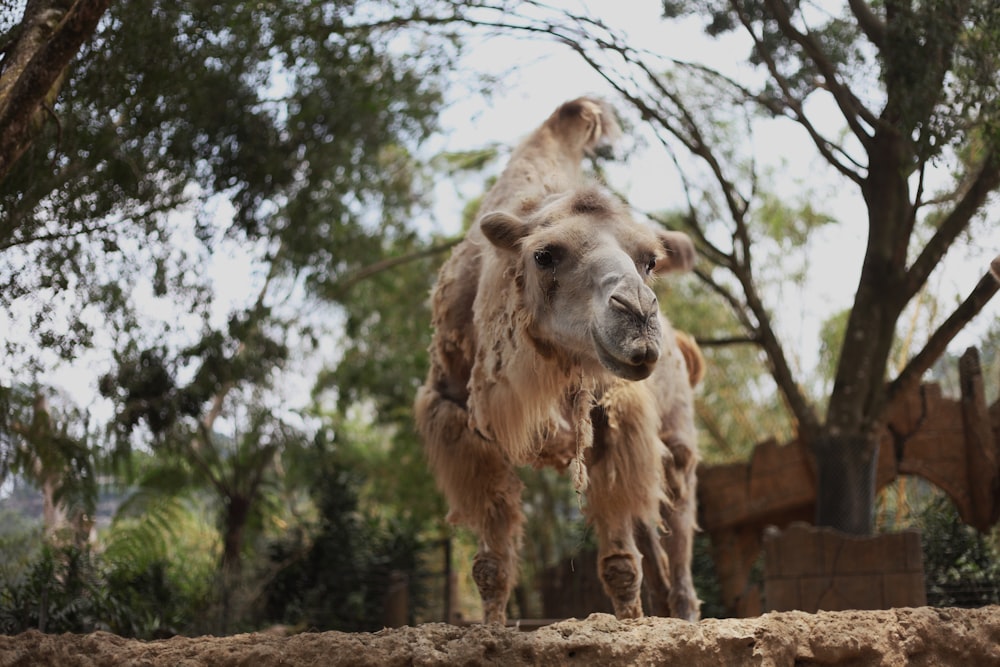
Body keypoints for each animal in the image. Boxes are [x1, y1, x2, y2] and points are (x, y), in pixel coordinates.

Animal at [414, 96, 704, 624]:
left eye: (649, 260)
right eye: (545, 255)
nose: (637, 316)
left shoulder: (615, 419)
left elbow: (620, 564)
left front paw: (630, 628)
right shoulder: (458, 420)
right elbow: (491, 566)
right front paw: (492, 629)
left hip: (676, 438)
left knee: (677, 538)